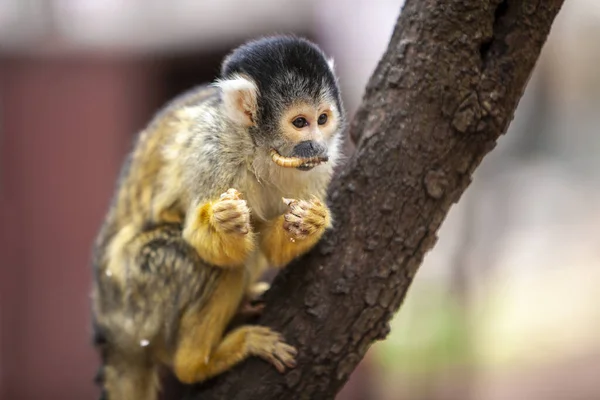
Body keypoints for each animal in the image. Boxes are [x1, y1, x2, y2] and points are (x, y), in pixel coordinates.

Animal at [88, 35, 342, 400]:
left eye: (322, 119)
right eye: (299, 123)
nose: (316, 146)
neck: (258, 149)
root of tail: (109, 329)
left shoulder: (319, 166)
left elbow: (273, 247)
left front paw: (311, 221)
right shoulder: (211, 151)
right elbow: (203, 243)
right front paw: (225, 223)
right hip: (136, 298)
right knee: (206, 263)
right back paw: (198, 364)